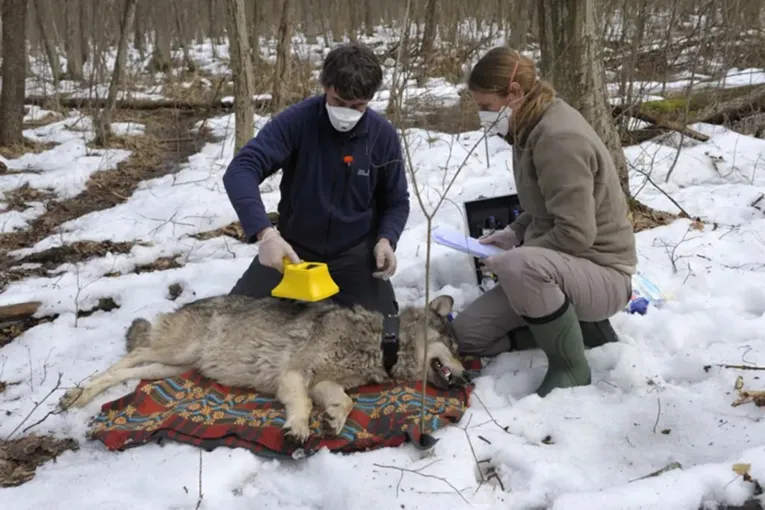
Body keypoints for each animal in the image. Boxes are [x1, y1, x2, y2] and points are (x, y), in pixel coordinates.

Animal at [58, 294, 466, 442]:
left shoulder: (322, 382)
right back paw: (76, 395)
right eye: (455, 348)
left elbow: (346, 402)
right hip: (174, 351)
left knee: (128, 373)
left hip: (171, 368)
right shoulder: (295, 375)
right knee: (127, 358)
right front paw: (299, 428)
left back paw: (80, 395)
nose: (466, 376)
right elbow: (302, 404)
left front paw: (333, 420)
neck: (381, 343)